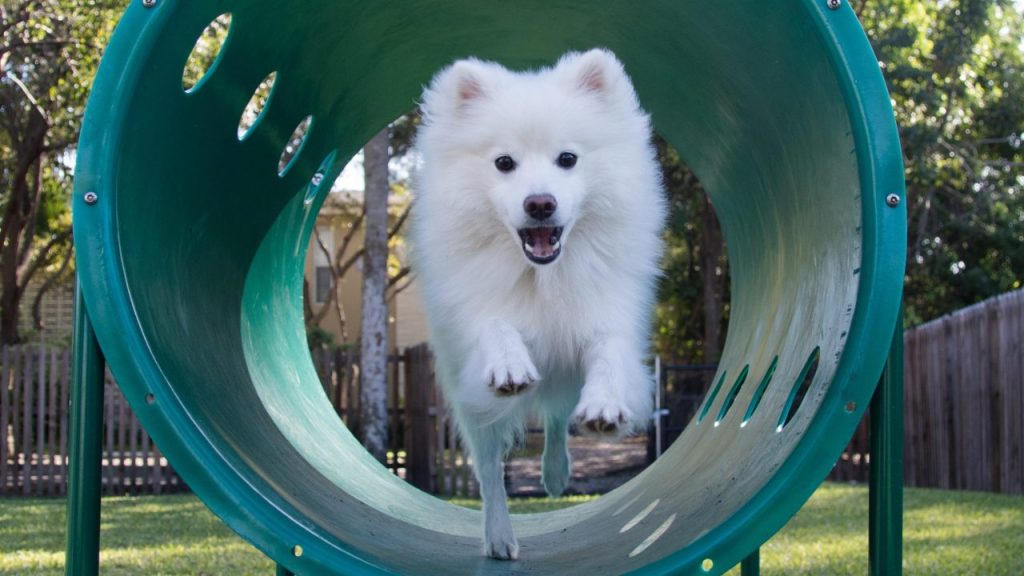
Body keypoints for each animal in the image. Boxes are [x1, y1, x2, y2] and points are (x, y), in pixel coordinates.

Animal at [411, 47, 667, 557]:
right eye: (504, 162)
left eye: (567, 159)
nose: (540, 204)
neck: (543, 275)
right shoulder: (478, 311)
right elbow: (496, 325)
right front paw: (510, 365)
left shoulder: (605, 315)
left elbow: (609, 357)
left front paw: (604, 407)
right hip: (475, 413)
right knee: (490, 471)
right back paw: (499, 538)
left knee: (555, 420)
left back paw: (554, 475)